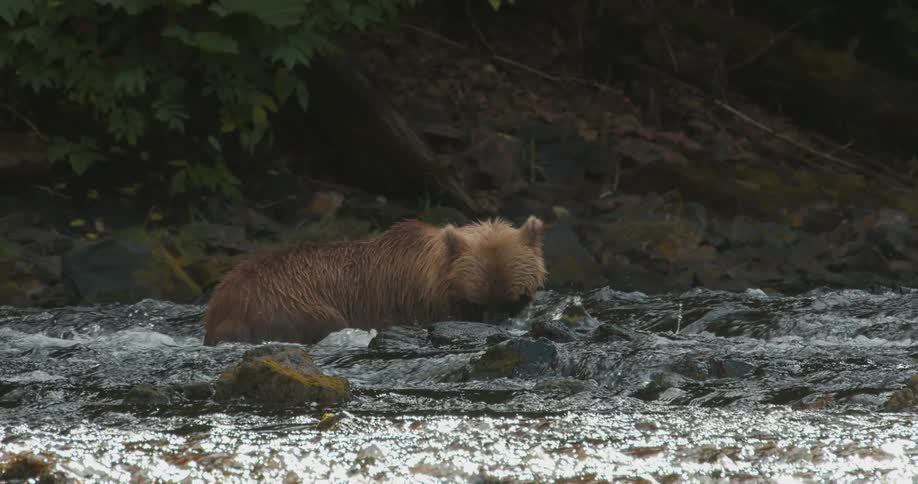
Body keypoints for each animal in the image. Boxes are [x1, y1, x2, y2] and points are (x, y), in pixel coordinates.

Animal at [202, 215, 547, 345]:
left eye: (517, 296)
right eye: (476, 301)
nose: (499, 321)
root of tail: (220, 301)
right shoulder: (414, 303)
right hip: (293, 307)